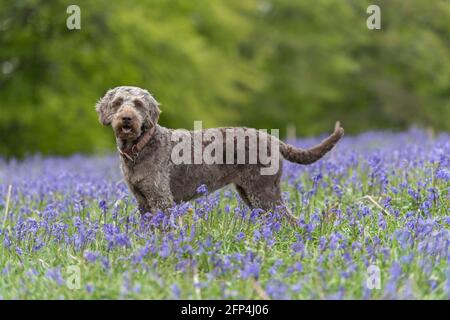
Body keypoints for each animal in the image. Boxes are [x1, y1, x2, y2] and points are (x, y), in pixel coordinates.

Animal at [93, 85, 342, 225]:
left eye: (138, 104)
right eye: (117, 103)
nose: (127, 118)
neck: (139, 148)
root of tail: (274, 139)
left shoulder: (161, 199)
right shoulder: (143, 201)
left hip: (263, 191)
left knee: (290, 220)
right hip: (251, 193)